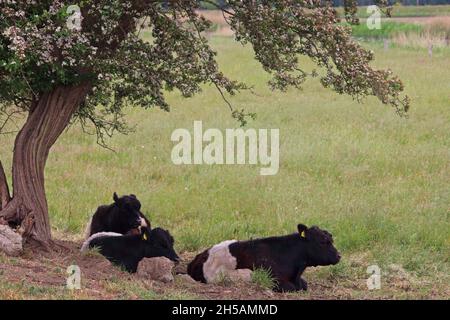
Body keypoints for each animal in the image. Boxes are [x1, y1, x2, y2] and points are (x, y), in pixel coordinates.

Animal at [187, 224, 342, 292]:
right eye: (323, 241)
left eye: (331, 239)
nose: (338, 256)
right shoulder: (275, 280)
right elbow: (292, 287)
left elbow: (304, 285)